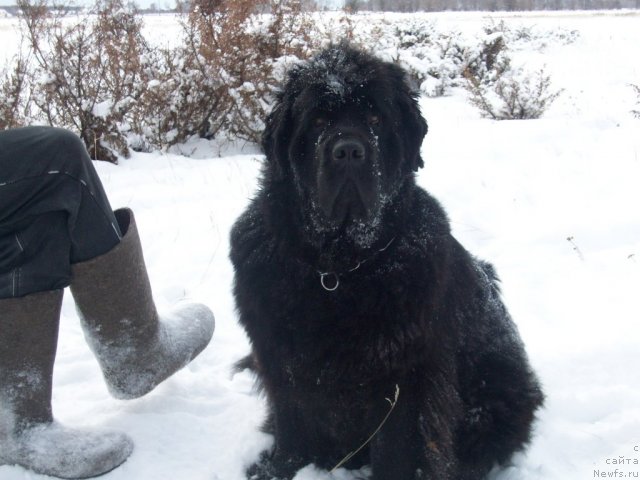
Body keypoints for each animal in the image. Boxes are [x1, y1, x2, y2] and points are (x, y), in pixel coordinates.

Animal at [232, 45, 544, 480]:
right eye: (318, 120)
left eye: (376, 119)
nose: (348, 151)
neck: (339, 269)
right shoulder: (281, 358)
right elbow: (291, 428)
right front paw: (277, 470)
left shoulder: (407, 378)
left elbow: (396, 447)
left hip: (492, 400)